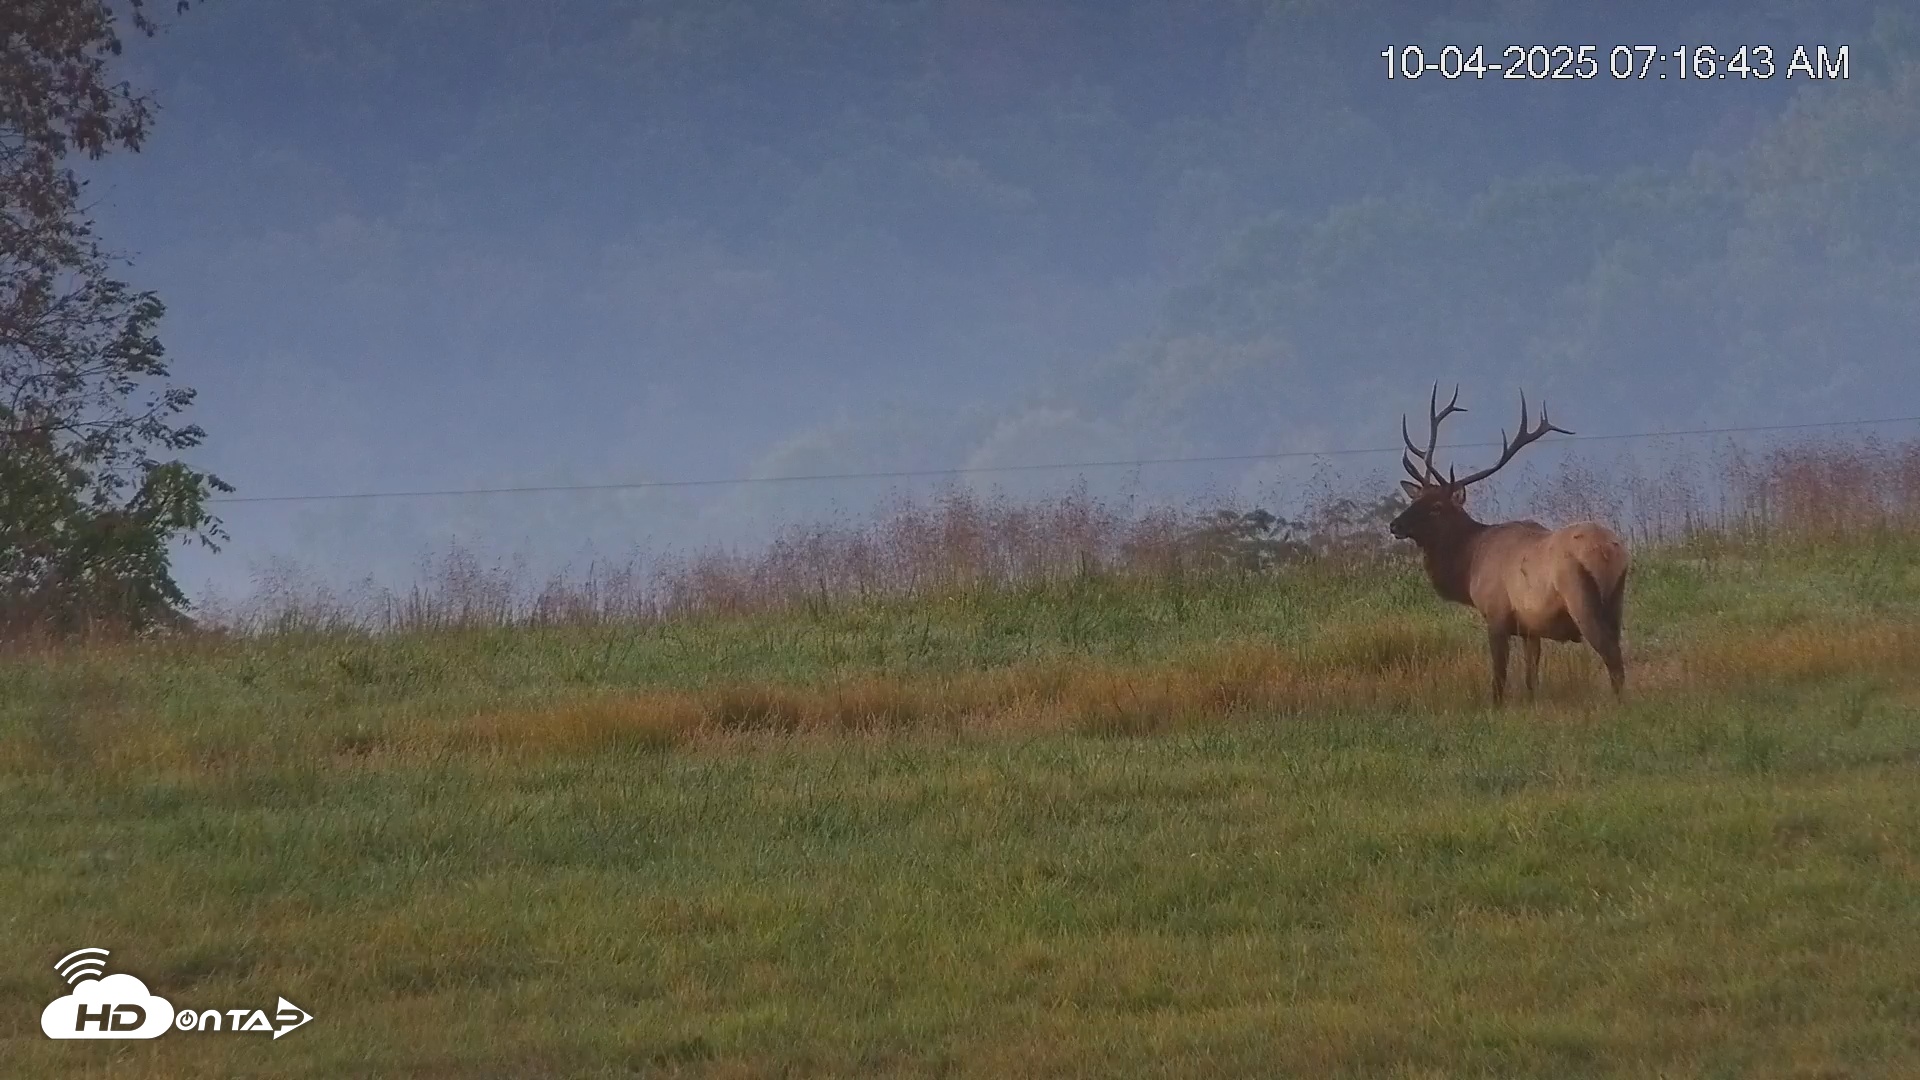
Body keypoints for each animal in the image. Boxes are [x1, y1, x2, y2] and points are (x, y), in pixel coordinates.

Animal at [1389, 385, 1629, 704]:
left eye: (1437, 507)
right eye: (1415, 499)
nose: (1395, 525)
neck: (1468, 567)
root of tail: (1609, 551)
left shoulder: (1497, 615)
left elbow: (1499, 676)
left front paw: (1496, 706)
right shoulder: (1530, 629)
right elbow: (1531, 678)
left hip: (1580, 597)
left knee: (1611, 655)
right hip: (1616, 601)